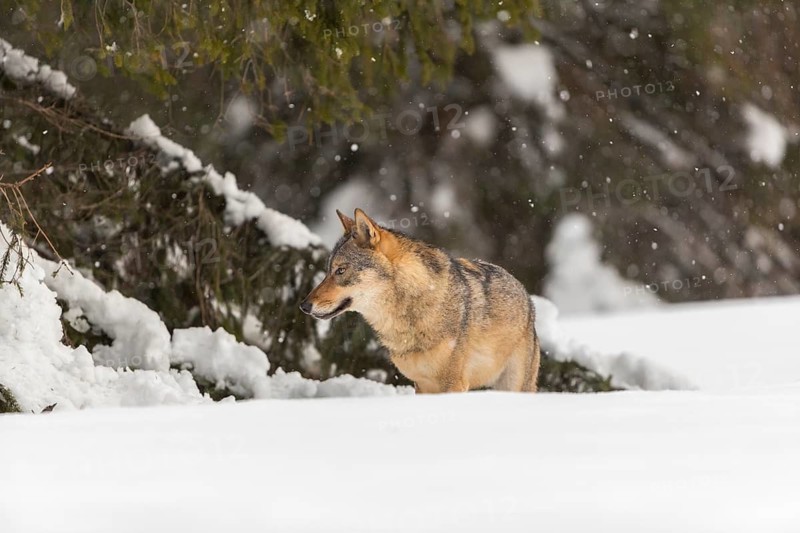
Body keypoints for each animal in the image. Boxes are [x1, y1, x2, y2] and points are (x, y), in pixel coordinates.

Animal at [299, 209, 540, 393]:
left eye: (340, 271)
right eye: (327, 271)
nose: (303, 306)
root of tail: (526, 296)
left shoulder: (453, 384)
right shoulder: (422, 385)